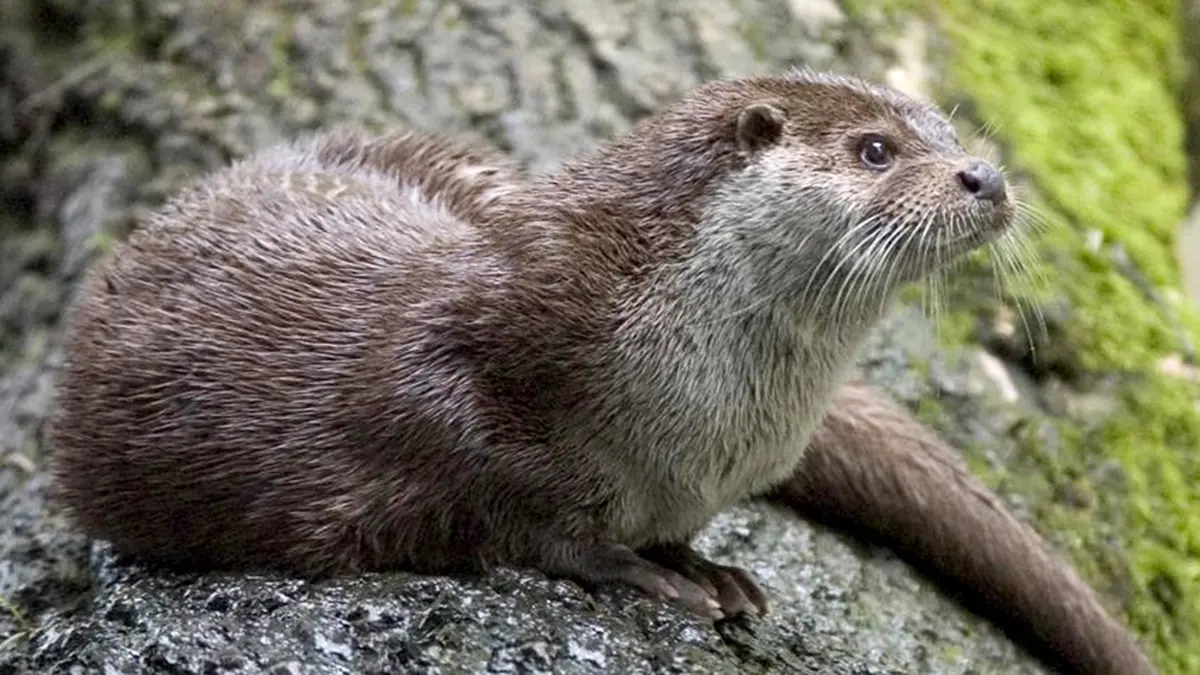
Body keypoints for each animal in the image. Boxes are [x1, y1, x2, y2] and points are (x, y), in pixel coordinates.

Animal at [45, 70, 1155, 674]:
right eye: (875, 150)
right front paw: (646, 572)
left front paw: (705, 564)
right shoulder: (468, 378)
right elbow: (514, 506)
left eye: (950, 132)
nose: (985, 175)